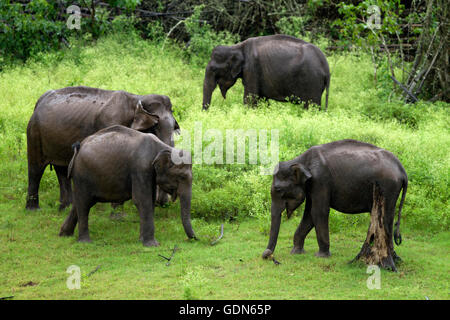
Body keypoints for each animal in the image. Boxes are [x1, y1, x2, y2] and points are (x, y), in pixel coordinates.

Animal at [25, 85, 178, 210]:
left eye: (174, 128)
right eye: (155, 126)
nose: (162, 203)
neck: (137, 98)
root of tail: (40, 100)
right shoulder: (110, 123)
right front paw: (116, 209)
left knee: (62, 170)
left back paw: (65, 207)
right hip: (34, 132)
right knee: (35, 168)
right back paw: (34, 209)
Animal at [59, 124, 196, 246]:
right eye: (182, 177)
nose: (195, 239)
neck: (162, 147)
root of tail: (78, 148)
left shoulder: (148, 174)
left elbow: (150, 200)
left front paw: (141, 240)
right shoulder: (140, 169)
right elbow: (142, 200)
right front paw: (152, 244)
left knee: (80, 202)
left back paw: (64, 234)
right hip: (82, 174)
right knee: (84, 204)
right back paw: (85, 242)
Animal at [260, 140, 408, 270]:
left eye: (278, 189)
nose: (268, 255)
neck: (301, 160)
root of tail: (402, 169)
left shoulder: (320, 181)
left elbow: (318, 212)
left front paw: (321, 256)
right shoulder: (312, 186)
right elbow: (309, 215)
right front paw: (296, 252)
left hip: (388, 187)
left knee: (386, 216)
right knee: (388, 217)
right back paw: (394, 258)